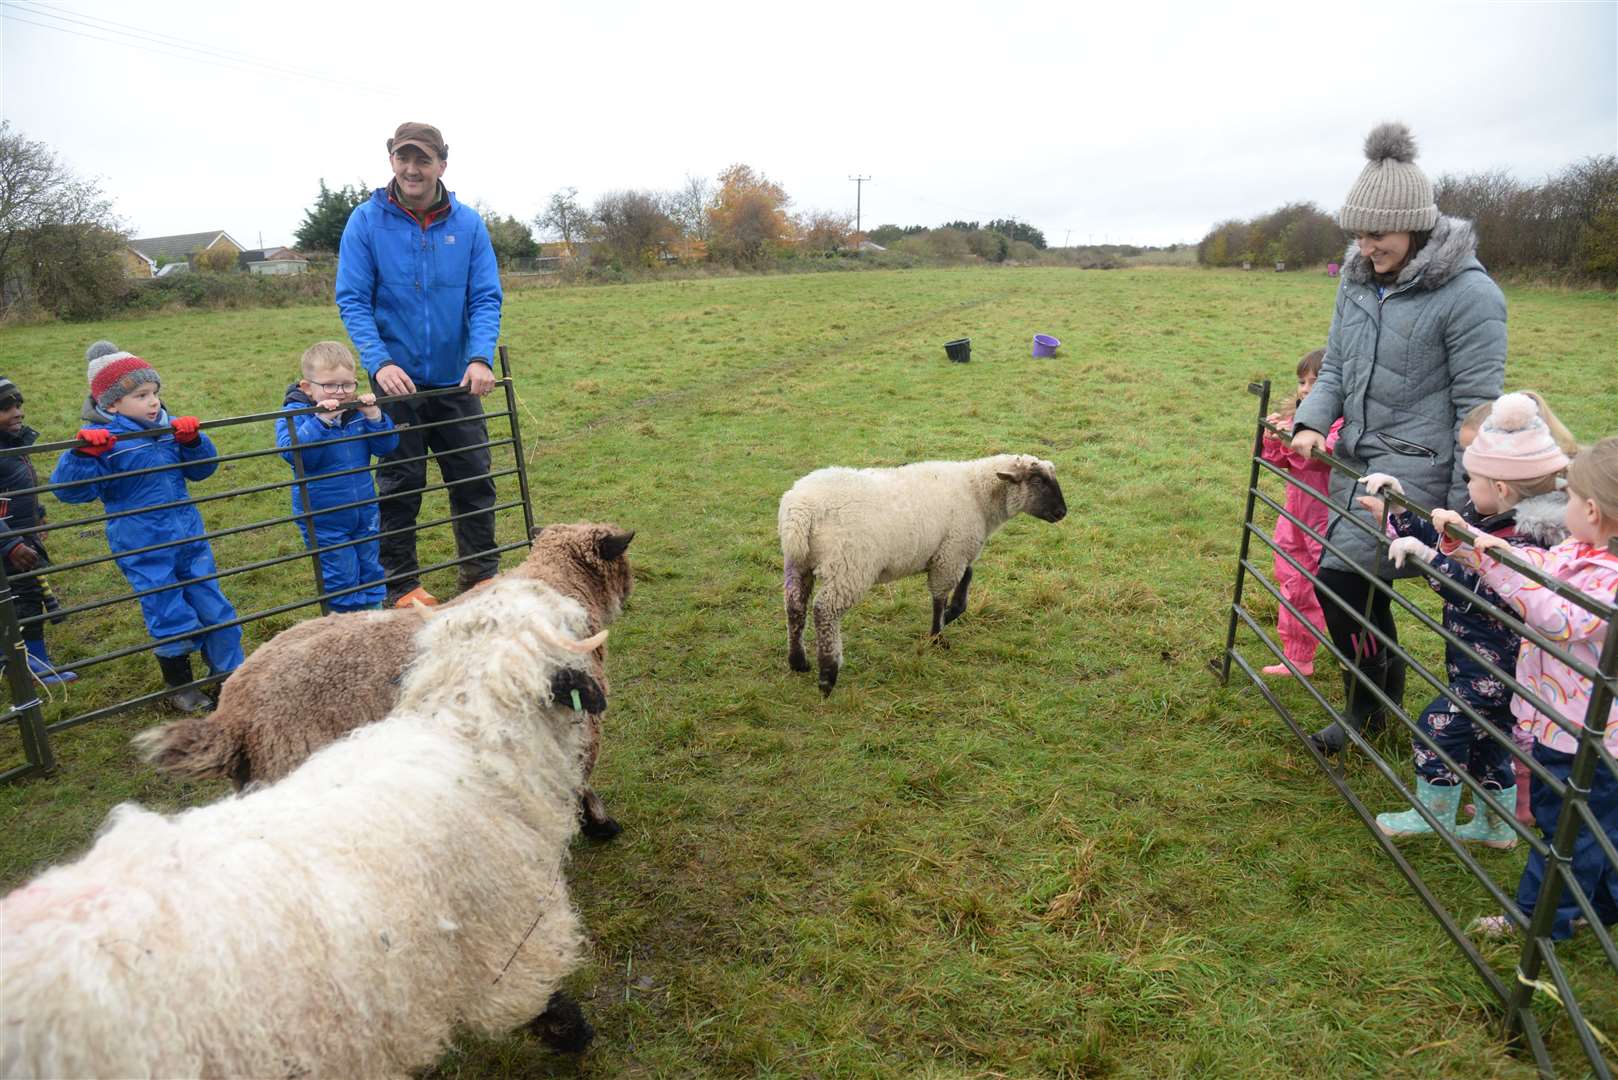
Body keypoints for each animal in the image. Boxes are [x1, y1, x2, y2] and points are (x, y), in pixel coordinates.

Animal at [134, 518, 637, 841]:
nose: (630, 592)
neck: (555, 582)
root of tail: (233, 714)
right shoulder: (576, 721)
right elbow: (579, 779)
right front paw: (599, 825)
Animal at [779, 453, 1067, 693]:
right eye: (1037, 480)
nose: (1062, 512)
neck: (977, 494)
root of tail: (801, 510)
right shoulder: (951, 553)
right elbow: (940, 597)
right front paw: (938, 635)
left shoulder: (952, 552)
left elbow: (966, 580)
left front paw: (950, 615)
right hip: (849, 566)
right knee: (824, 611)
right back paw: (828, 674)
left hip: (798, 563)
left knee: (795, 607)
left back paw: (798, 661)